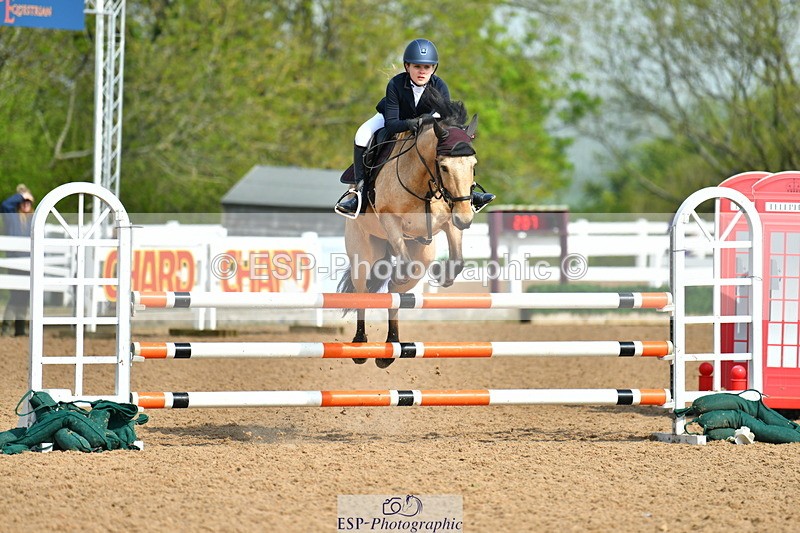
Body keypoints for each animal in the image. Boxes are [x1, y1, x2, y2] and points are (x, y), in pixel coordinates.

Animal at [337, 94, 479, 368]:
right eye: (444, 167)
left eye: (473, 165)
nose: (466, 219)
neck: (423, 181)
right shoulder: (390, 220)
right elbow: (401, 260)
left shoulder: (449, 220)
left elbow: (457, 259)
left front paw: (444, 276)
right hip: (363, 252)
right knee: (363, 290)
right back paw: (360, 346)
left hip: (421, 253)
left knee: (396, 294)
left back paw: (391, 347)